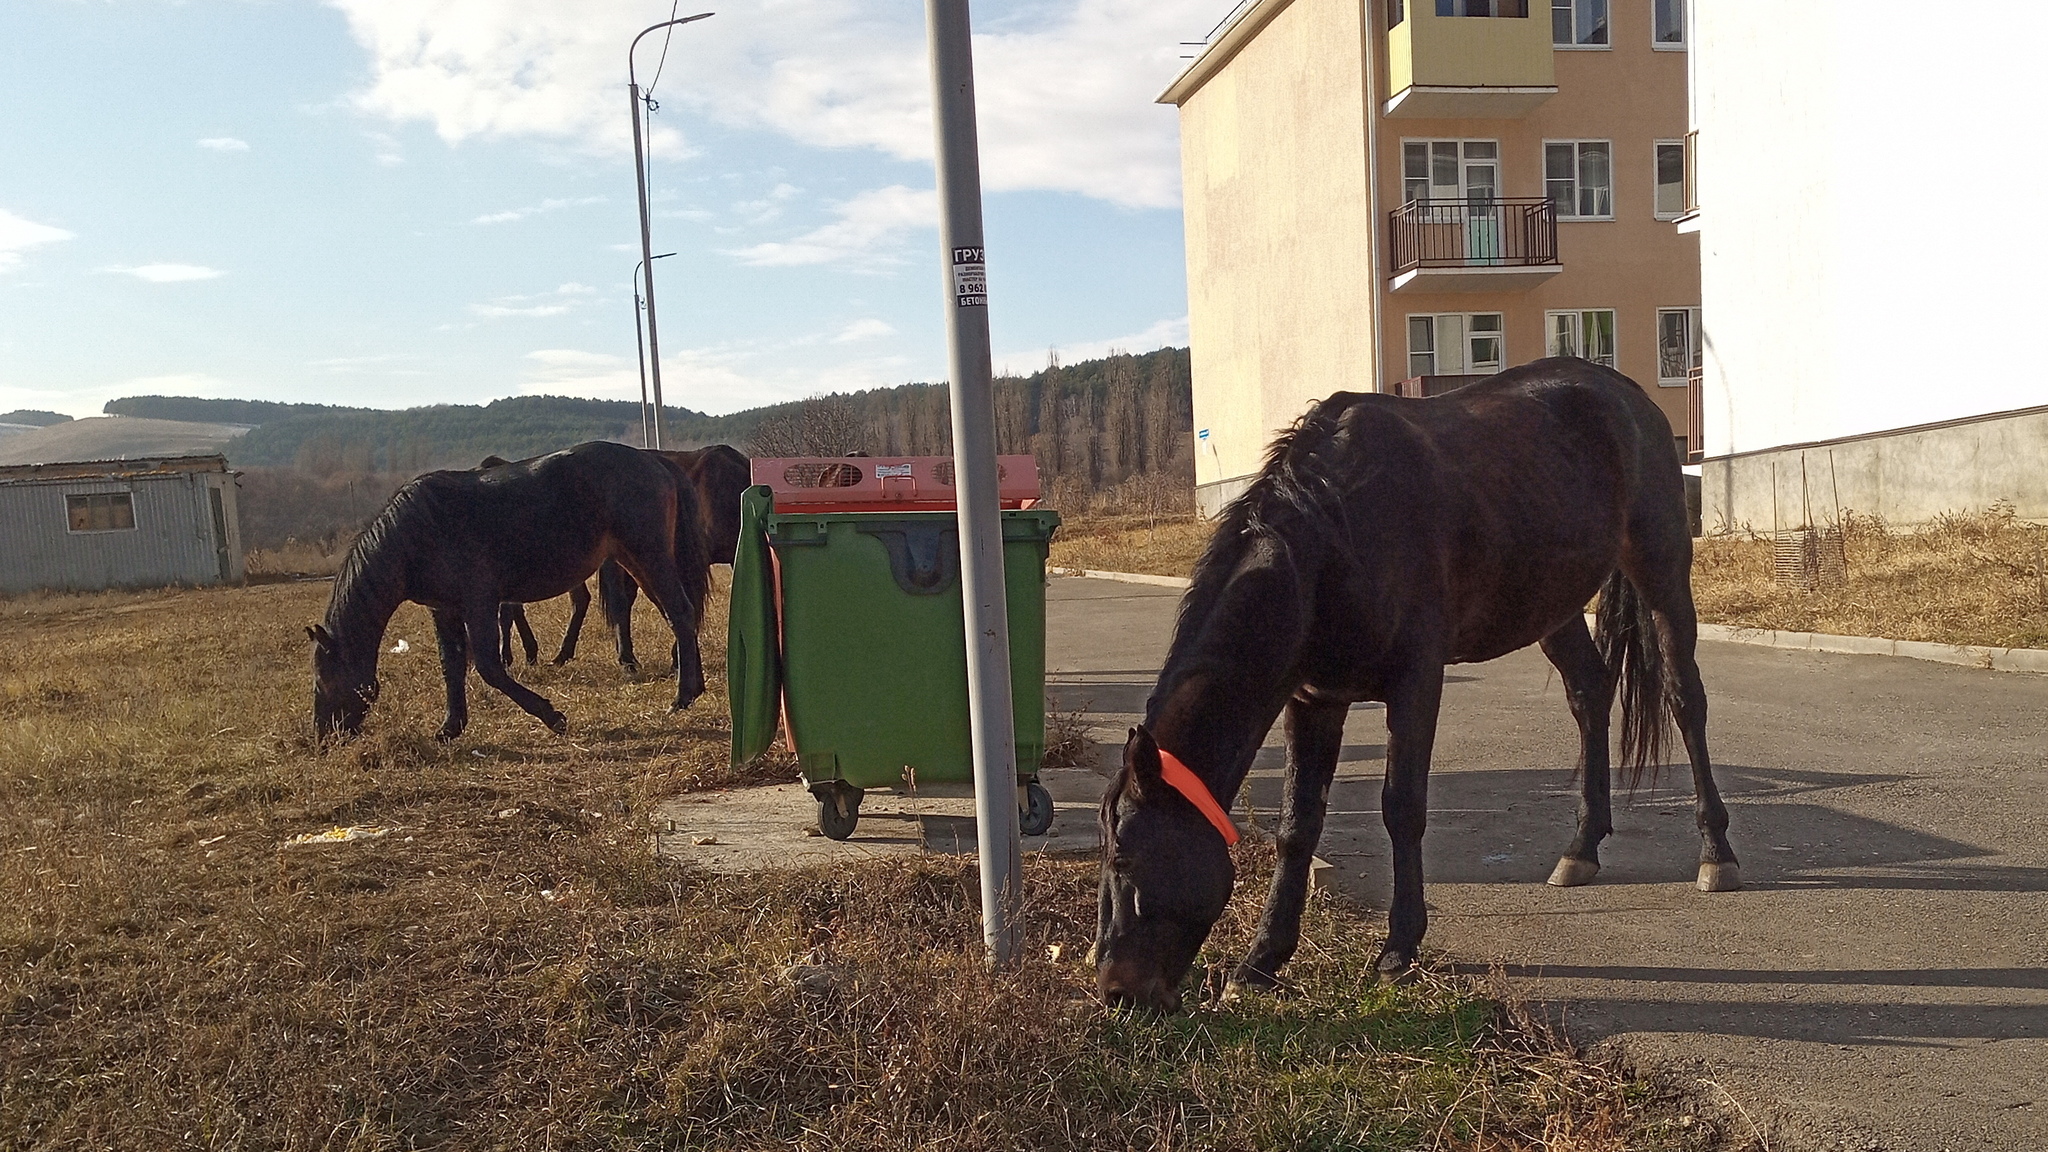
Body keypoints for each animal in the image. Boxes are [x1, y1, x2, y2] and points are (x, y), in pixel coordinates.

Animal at [309, 438, 712, 733]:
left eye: (322, 679)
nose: (325, 735)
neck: (418, 529)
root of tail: (655, 462)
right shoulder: (445, 609)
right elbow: (451, 663)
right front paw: (450, 726)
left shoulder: (480, 602)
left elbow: (489, 666)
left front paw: (553, 716)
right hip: (638, 563)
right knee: (680, 616)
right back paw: (694, 687)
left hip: (649, 558)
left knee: (680, 612)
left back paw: (681, 697)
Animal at [1097, 356, 1736, 1004]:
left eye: (1125, 861)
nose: (1117, 990)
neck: (1333, 540)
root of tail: (1628, 393)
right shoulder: (1312, 699)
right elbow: (1298, 824)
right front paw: (1262, 958)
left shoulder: (1415, 682)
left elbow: (1401, 807)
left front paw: (1399, 946)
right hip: (1552, 605)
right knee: (1590, 692)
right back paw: (1581, 849)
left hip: (1660, 568)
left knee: (1685, 698)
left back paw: (1717, 854)